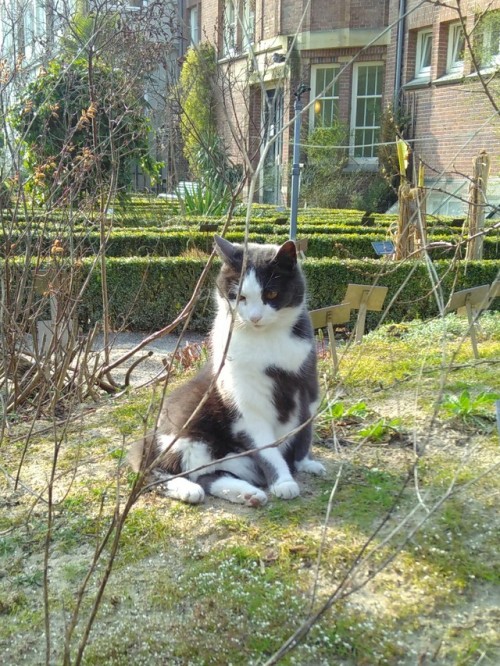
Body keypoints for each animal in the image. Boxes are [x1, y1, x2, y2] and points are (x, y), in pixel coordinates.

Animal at [129, 233, 324, 504]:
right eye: (237, 296)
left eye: (272, 293)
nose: (254, 317)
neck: (266, 341)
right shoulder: (246, 405)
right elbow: (267, 451)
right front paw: (284, 482)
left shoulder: (307, 384)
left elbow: (305, 431)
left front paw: (305, 463)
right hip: (187, 429)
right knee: (157, 471)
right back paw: (187, 489)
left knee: (208, 475)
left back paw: (248, 494)